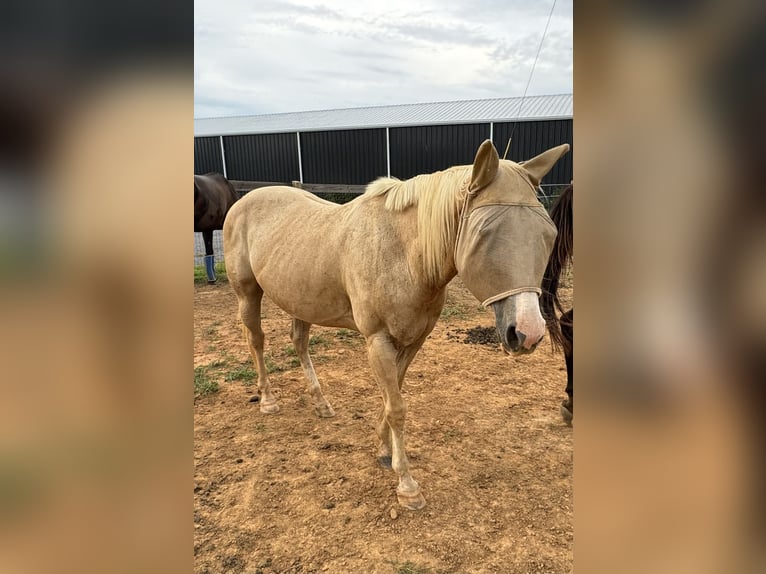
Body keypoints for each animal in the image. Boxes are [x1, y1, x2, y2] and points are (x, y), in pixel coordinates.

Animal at [222, 142, 568, 510]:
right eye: (484, 234)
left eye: (549, 234)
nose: (529, 333)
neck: (403, 254)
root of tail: (243, 201)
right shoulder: (377, 341)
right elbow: (397, 408)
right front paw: (407, 485)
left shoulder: (413, 340)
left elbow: (393, 397)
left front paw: (384, 450)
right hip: (248, 293)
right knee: (256, 340)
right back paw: (268, 399)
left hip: (300, 298)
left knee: (299, 342)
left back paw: (321, 404)